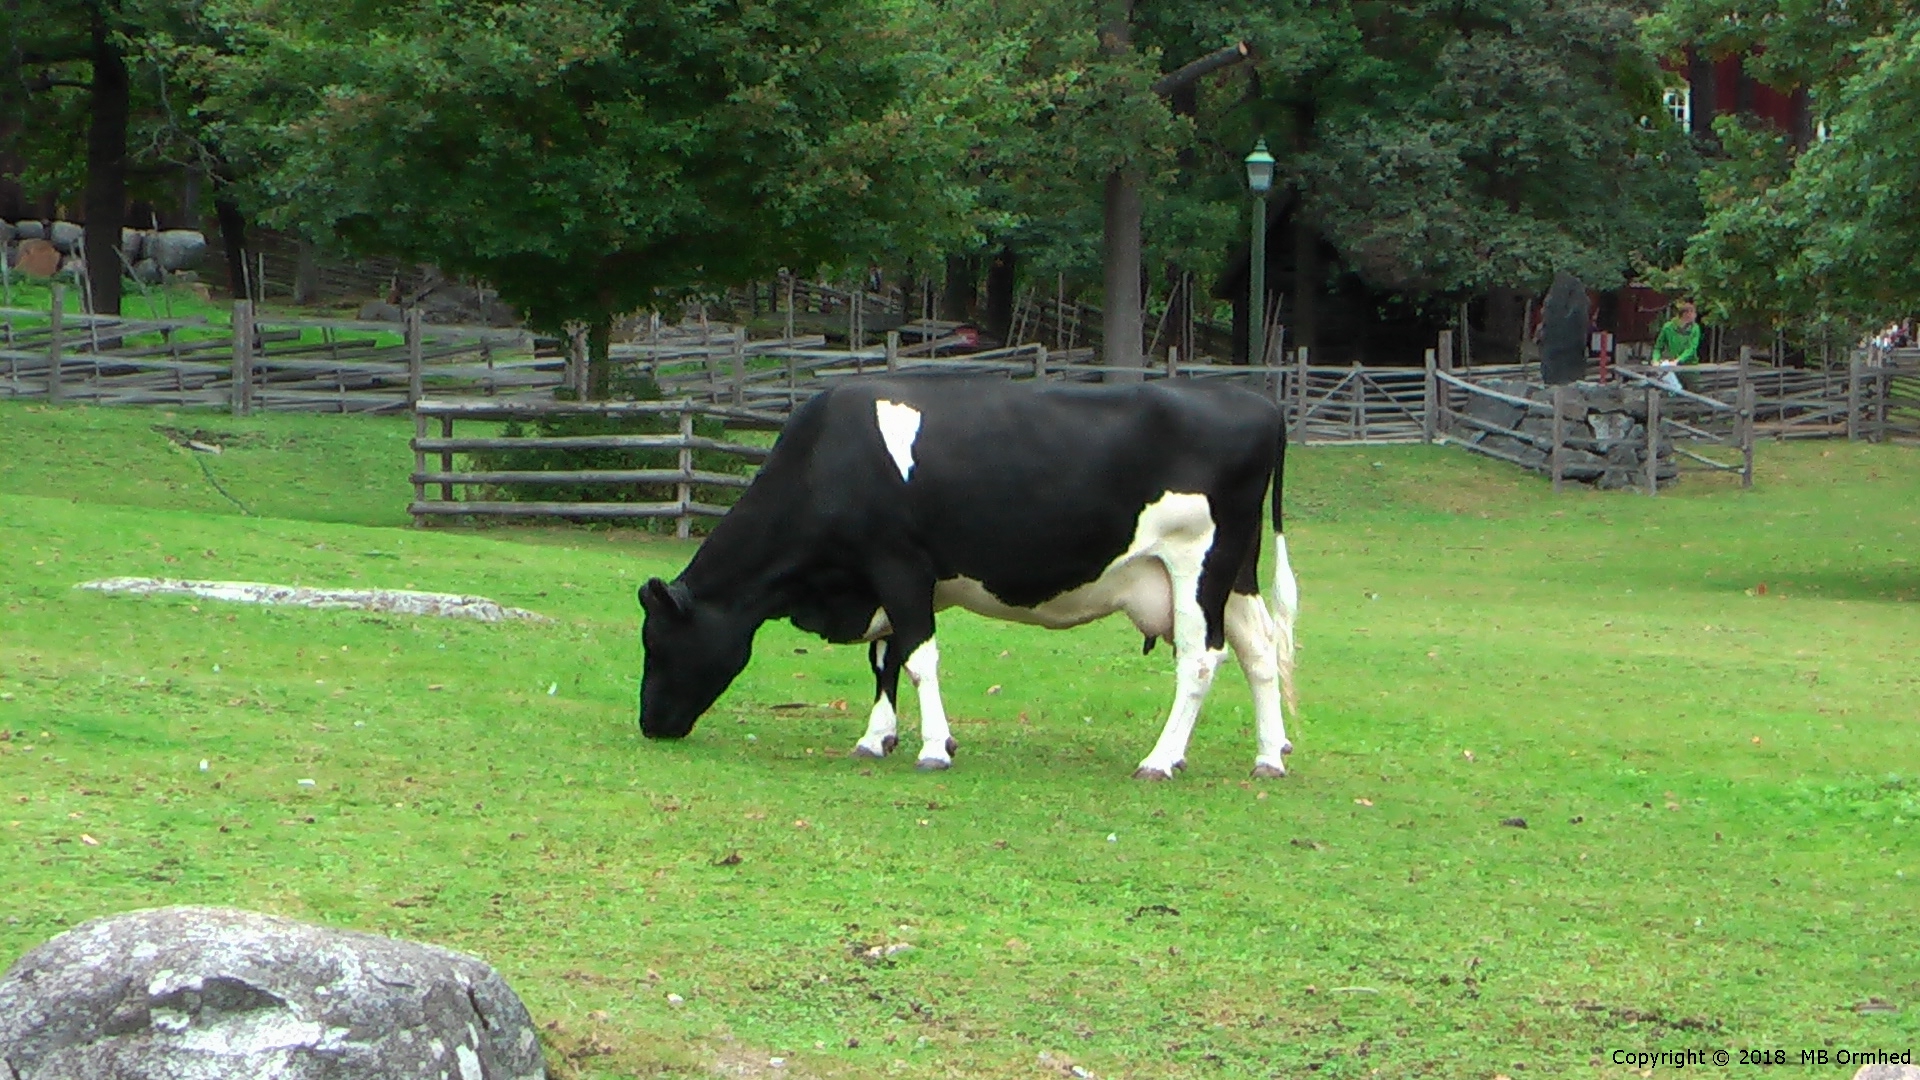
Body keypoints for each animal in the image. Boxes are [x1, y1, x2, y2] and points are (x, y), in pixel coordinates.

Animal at [637, 374, 1297, 776]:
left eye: (658, 642)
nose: (649, 725)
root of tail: (1260, 403)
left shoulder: (898, 563)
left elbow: (917, 657)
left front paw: (934, 747)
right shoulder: (886, 580)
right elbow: (884, 659)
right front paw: (877, 738)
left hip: (1197, 563)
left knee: (1201, 658)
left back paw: (1160, 760)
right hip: (1235, 573)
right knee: (1259, 650)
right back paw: (1270, 756)